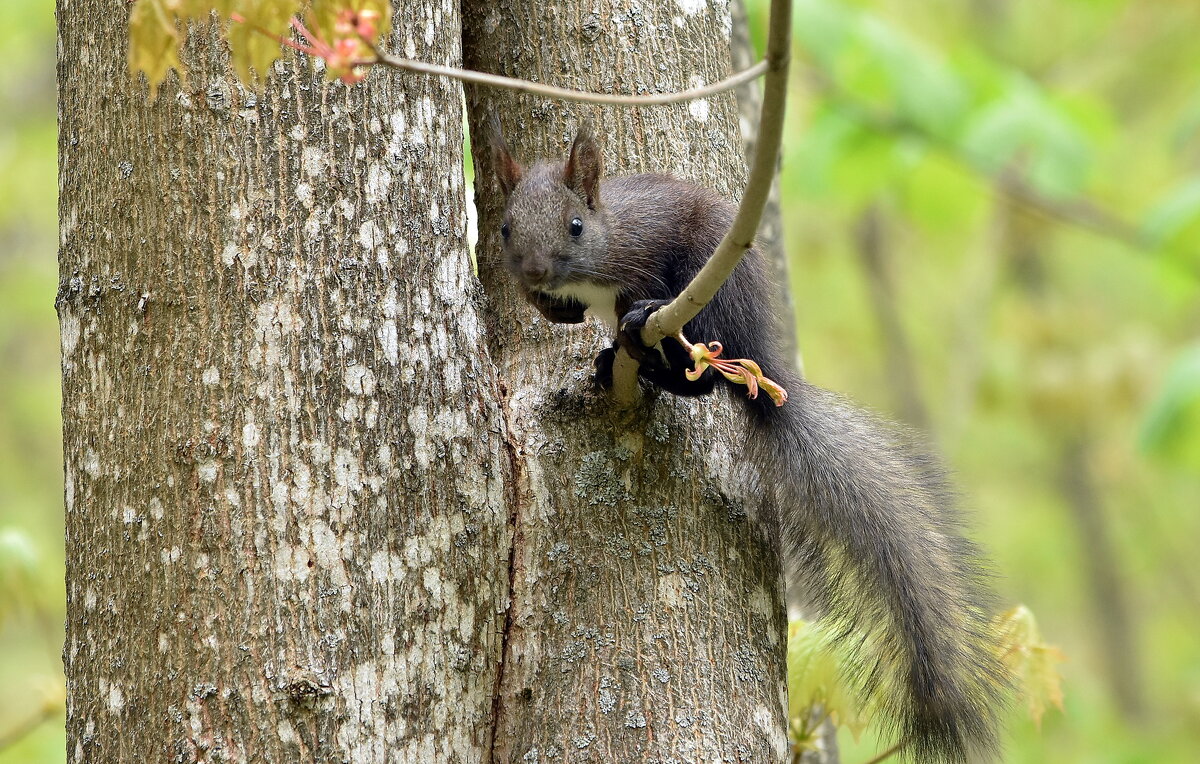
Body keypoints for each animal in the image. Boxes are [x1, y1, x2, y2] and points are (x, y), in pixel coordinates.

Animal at [492, 122, 1008, 758]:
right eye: (505, 226)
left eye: (575, 226)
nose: (535, 272)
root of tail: (764, 358)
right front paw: (550, 308)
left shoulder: (644, 247)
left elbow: (641, 287)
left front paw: (631, 310)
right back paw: (616, 359)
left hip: (716, 304)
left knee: (705, 380)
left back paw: (642, 345)